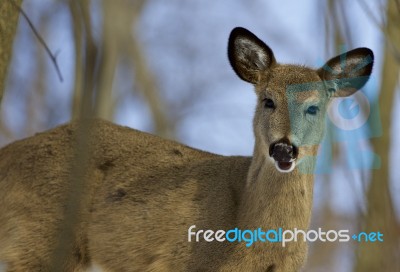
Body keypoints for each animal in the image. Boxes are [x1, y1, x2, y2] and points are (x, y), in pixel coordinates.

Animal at [0, 26, 374, 272]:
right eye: (268, 101)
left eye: (314, 107)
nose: (284, 149)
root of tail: (7, 155)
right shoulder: (174, 260)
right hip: (42, 240)